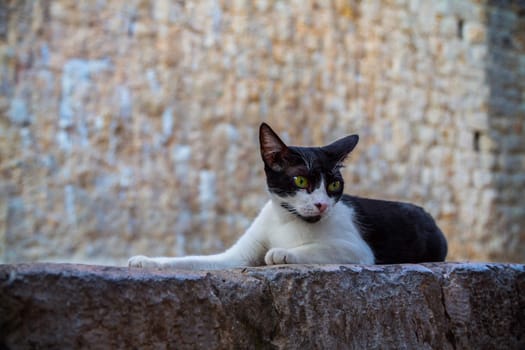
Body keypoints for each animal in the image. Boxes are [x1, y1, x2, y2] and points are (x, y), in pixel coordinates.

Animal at [129, 121, 448, 270]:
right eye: (300, 179)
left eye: (334, 185)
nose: (321, 204)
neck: (287, 221)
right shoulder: (237, 256)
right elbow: (196, 260)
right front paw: (147, 261)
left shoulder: (358, 250)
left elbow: (318, 248)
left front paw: (282, 253)